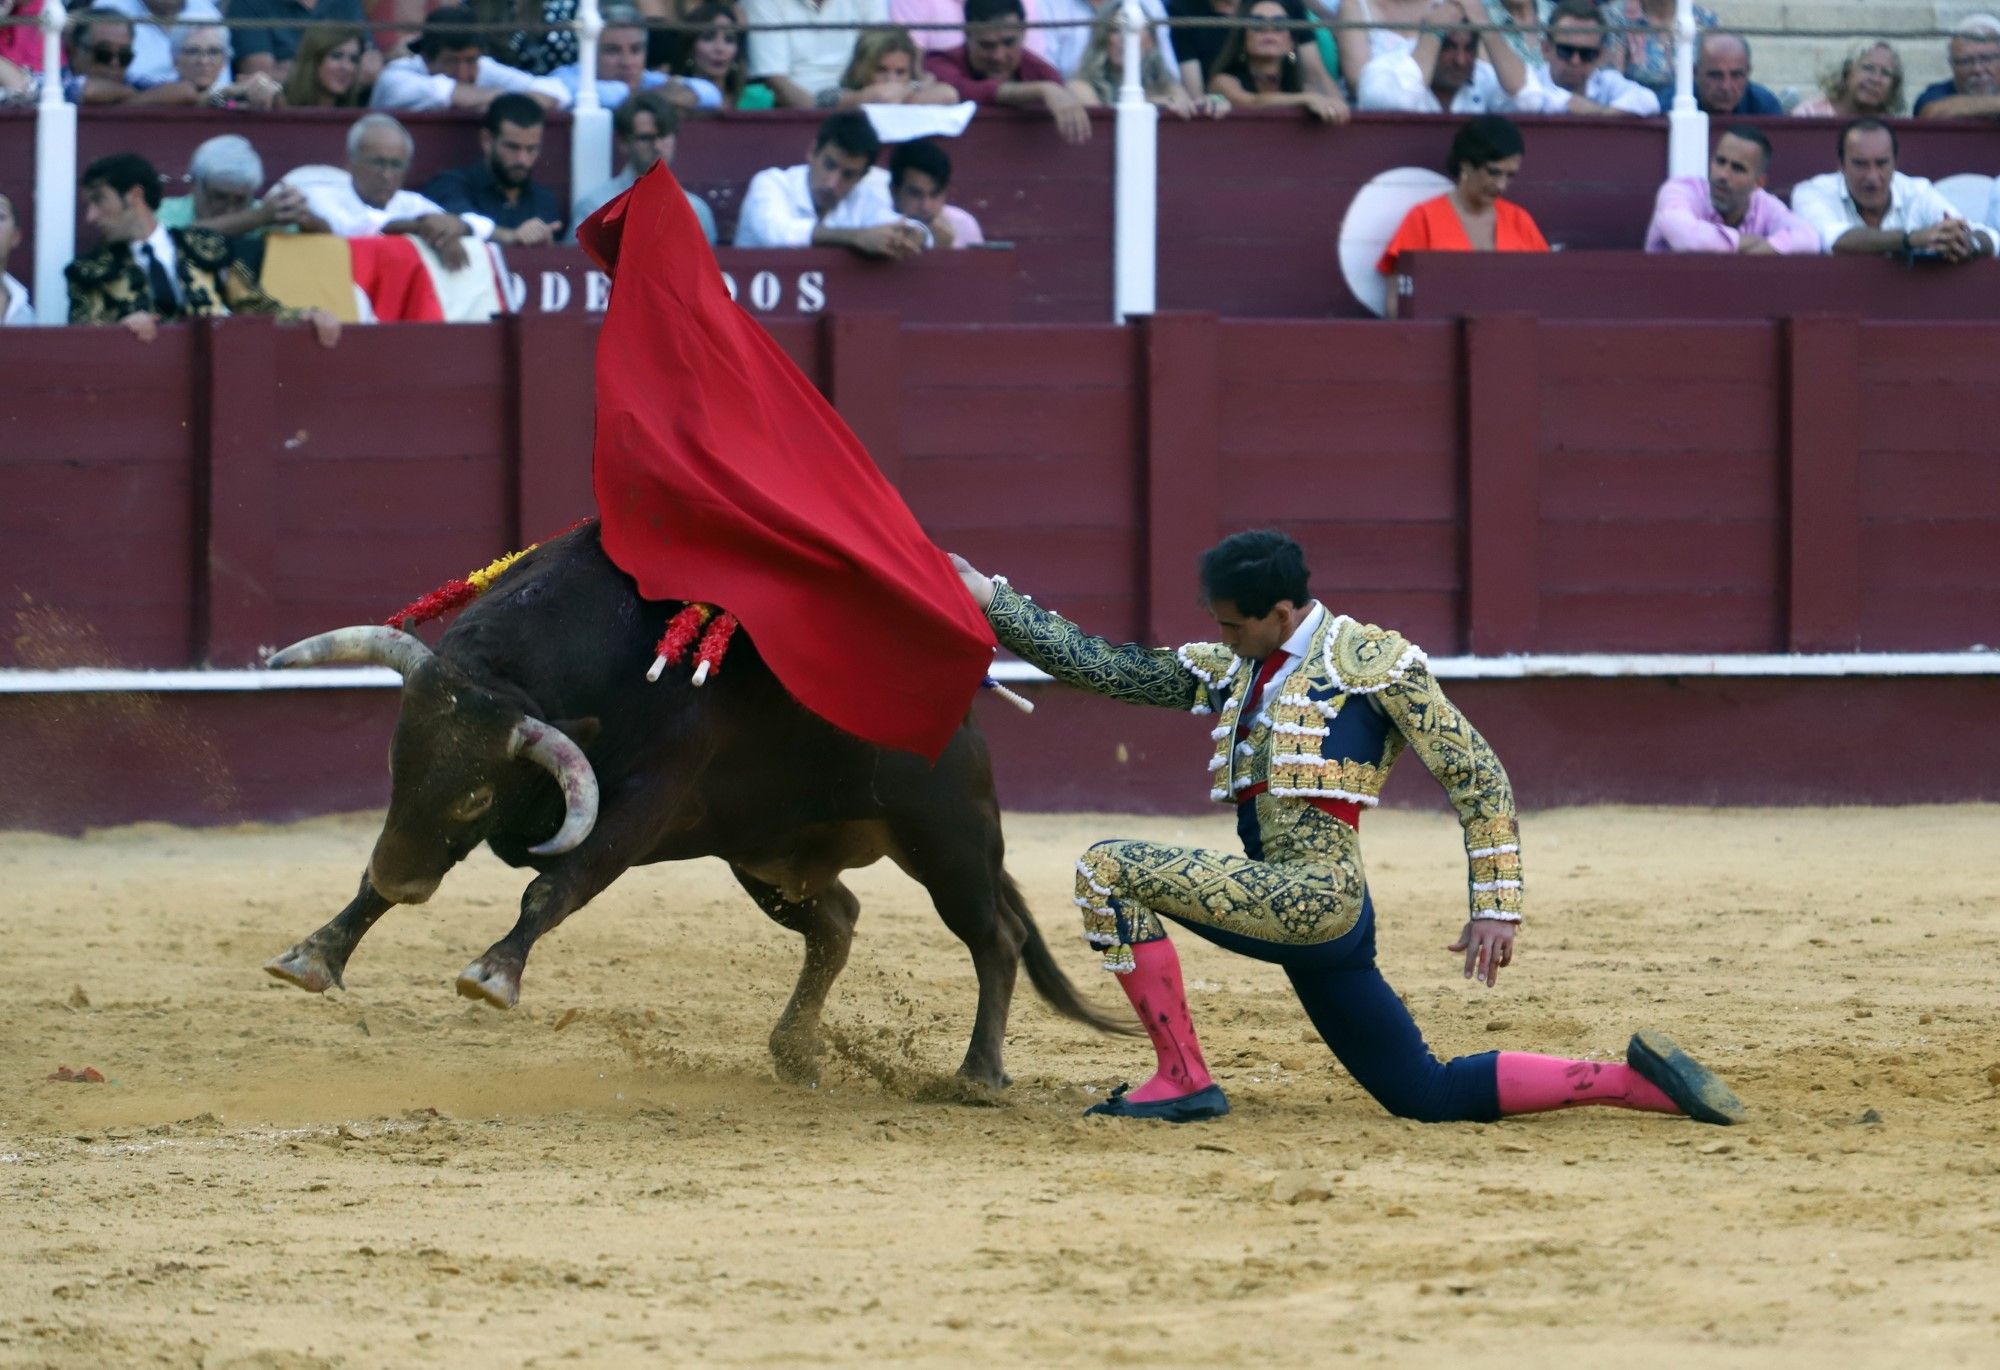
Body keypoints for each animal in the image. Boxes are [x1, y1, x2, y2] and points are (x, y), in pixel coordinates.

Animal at [258, 524, 1120, 1088]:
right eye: (395, 761)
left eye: (476, 793)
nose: (401, 879)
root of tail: (963, 710)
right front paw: (313, 955)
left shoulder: (636, 806)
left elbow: (554, 885)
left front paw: (492, 975)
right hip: (767, 857)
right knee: (836, 923)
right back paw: (795, 1053)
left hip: (947, 837)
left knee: (995, 935)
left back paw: (977, 1075)